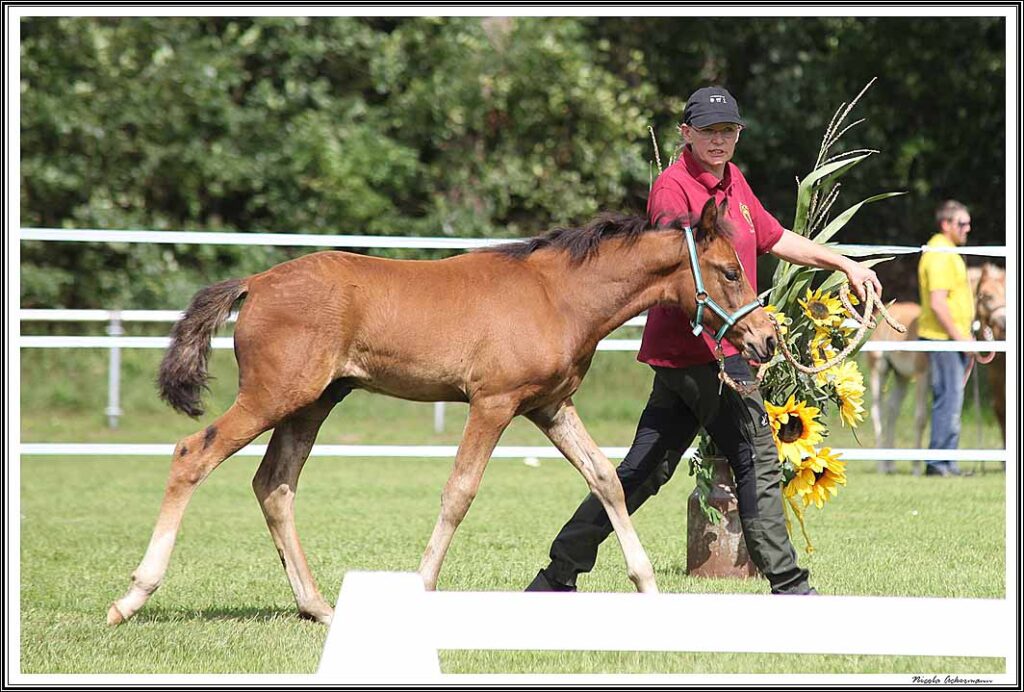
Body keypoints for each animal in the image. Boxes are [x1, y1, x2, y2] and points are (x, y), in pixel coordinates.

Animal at [105, 198, 774, 626]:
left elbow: (606, 479)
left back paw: (318, 607)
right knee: (193, 455)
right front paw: (422, 585)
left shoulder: (550, 406)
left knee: (274, 485)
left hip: (312, 404)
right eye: (730, 271)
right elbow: (460, 491)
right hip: (274, 396)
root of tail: (258, 281)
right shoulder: (493, 404)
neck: (555, 295)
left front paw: (648, 586)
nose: (766, 340)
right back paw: (131, 598)